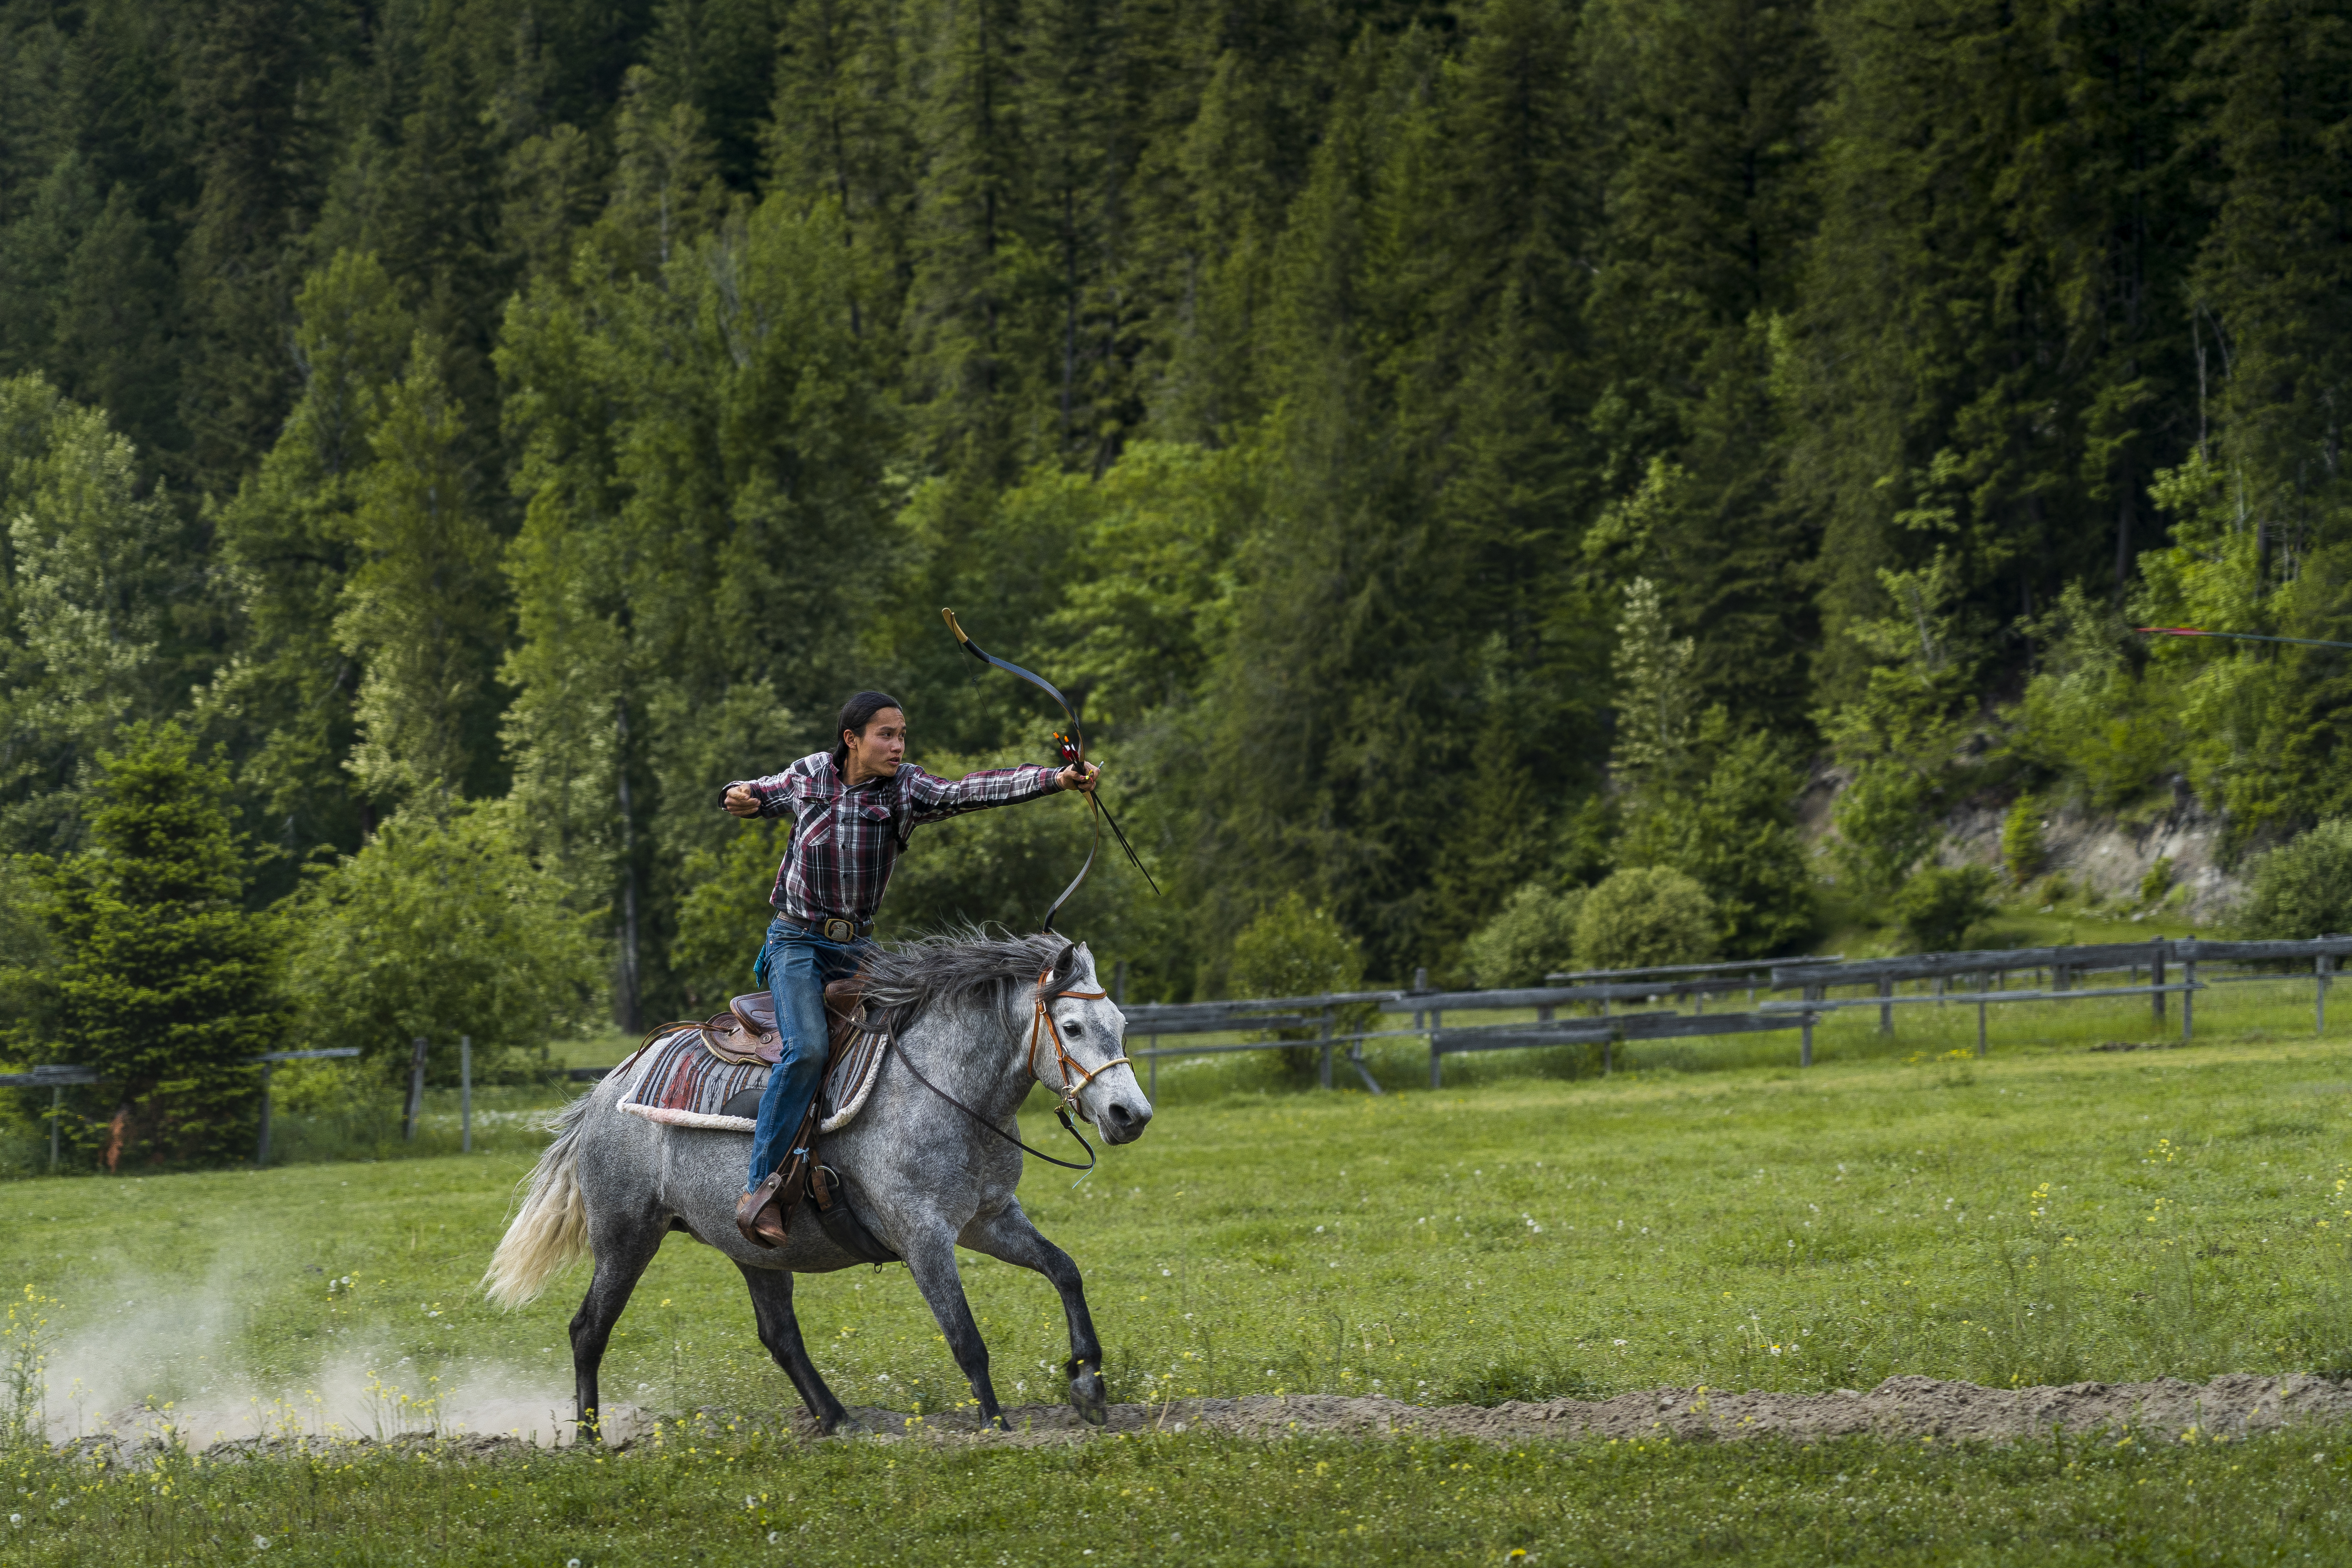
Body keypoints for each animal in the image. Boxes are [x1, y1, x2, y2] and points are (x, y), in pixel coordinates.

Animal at [487, 940, 1157, 1439]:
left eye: (1122, 1024)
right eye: (1071, 1025)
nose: (1131, 1114)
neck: (947, 1090)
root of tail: (609, 1087)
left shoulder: (989, 1220)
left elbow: (1065, 1270)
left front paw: (1089, 1384)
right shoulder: (923, 1236)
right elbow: (965, 1336)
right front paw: (995, 1425)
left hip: (753, 1248)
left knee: (779, 1336)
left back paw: (837, 1418)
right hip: (626, 1234)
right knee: (588, 1328)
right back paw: (591, 1438)